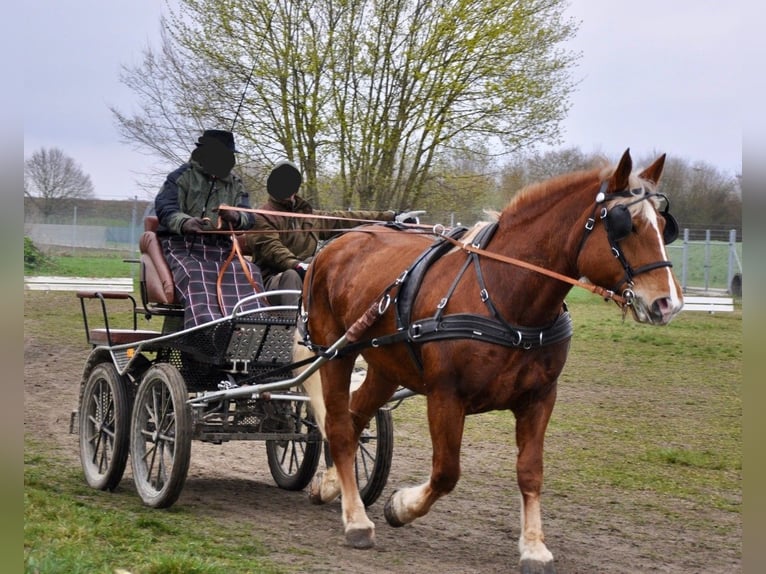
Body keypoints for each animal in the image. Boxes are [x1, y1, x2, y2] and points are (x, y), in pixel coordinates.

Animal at [294, 151, 684, 572]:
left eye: (664, 226)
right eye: (625, 226)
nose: (668, 302)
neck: (505, 295)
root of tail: (336, 243)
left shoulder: (539, 398)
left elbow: (530, 472)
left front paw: (533, 547)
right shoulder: (446, 397)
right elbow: (446, 472)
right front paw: (400, 506)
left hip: (385, 366)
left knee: (354, 419)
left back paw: (329, 486)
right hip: (335, 353)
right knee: (339, 427)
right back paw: (356, 520)